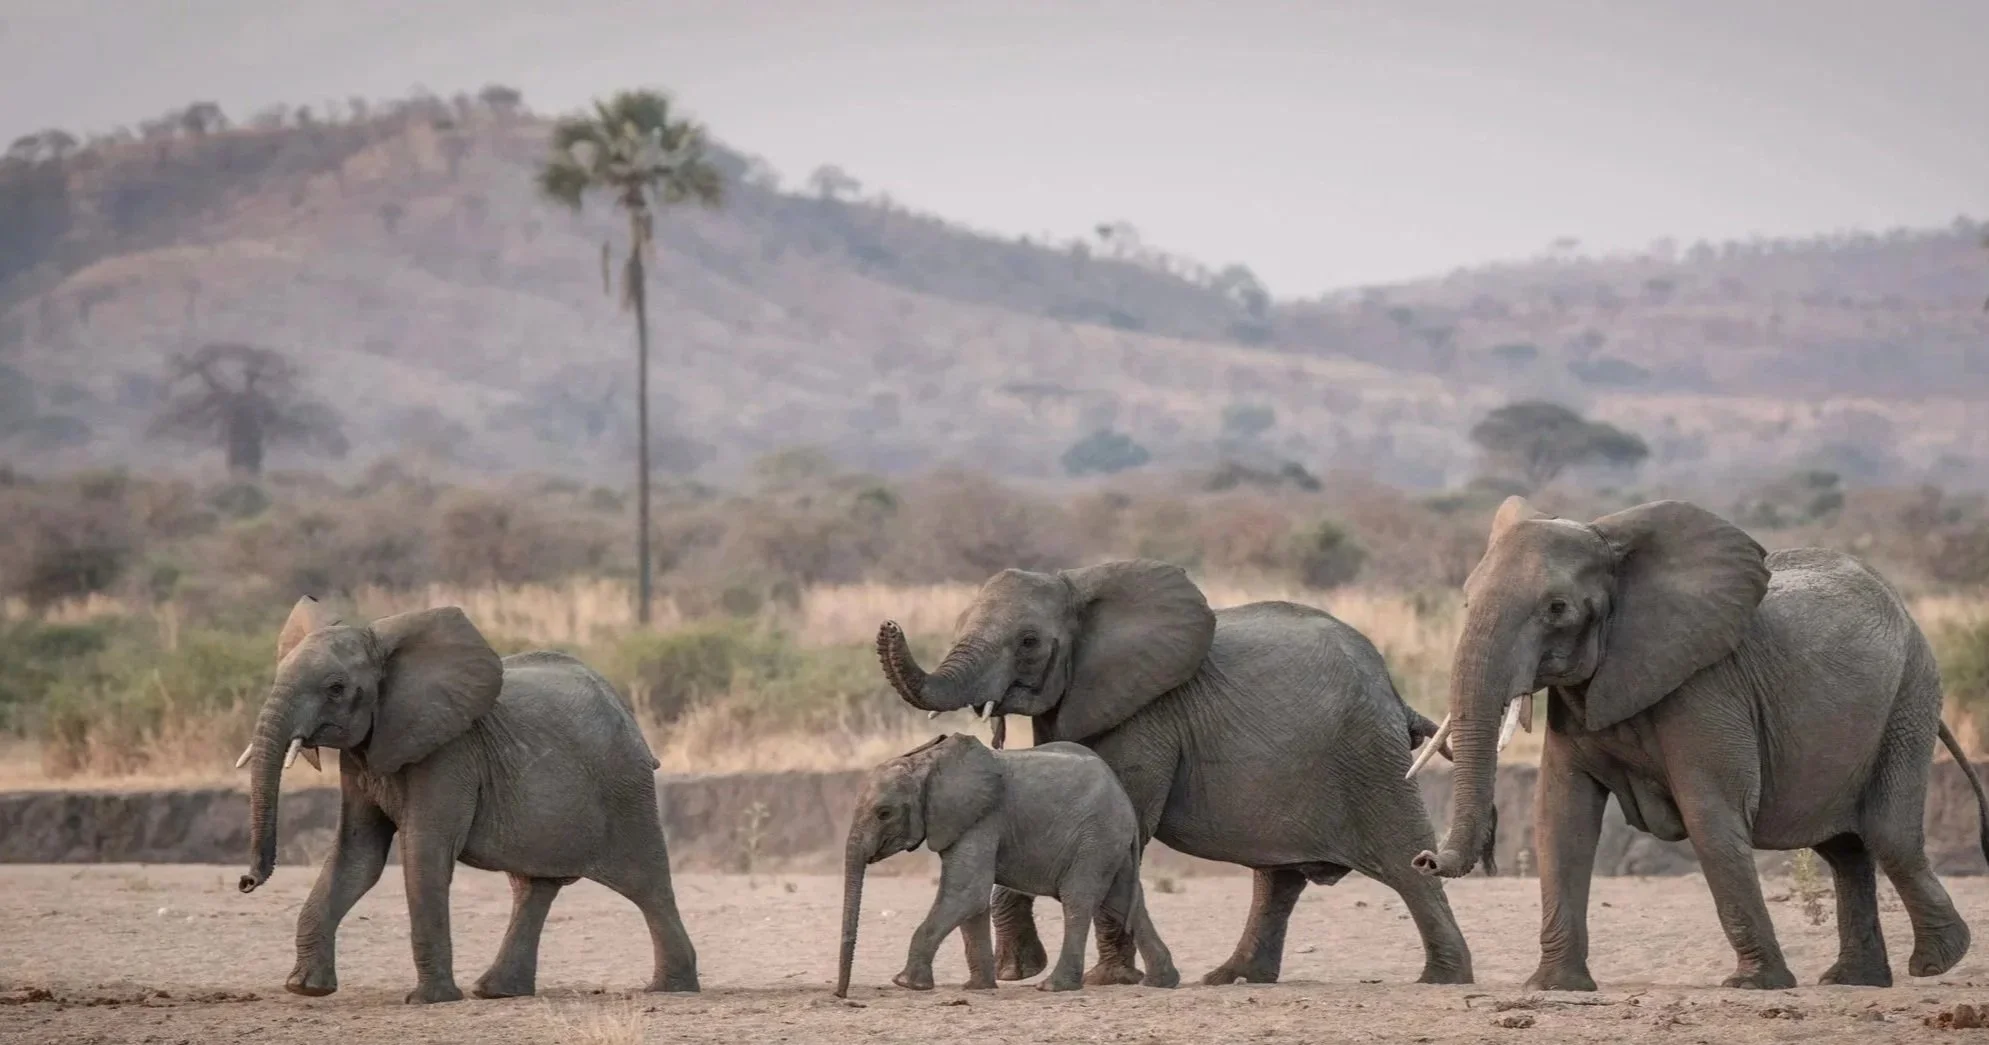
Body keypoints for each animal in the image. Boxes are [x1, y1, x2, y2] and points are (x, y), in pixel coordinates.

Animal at [233, 596, 699, 1003]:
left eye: (335, 688)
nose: (245, 882)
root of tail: (624, 710)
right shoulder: (362, 756)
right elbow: (357, 855)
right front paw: (304, 988)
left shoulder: (449, 754)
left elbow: (424, 853)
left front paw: (428, 1001)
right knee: (534, 887)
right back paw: (498, 992)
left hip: (625, 788)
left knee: (646, 883)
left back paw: (670, 989)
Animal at [835, 733, 1177, 996]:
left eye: (884, 813)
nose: (841, 994)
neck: (926, 763)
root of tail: (1125, 798)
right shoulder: (964, 823)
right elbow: (971, 902)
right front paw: (978, 988)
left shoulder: (981, 818)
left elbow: (966, 893)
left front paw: (906, 983)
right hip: (1109, 844)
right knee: (1121, 900)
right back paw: (1162, 982)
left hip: (1094, 837)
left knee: (1079, 900)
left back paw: (1054, 987)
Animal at [877, 559, 1475, 986]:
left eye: (1028, 642)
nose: (888, 623)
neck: (1077, 584)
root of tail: (1392, 689)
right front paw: (1016, 973)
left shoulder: (1146, 714)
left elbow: (1125, 826)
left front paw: (1107, 981)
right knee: (1277, 879)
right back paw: (1232, 978)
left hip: (1368, 756)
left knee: (1405, 861)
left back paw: (1443, 978)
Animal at [1412, 496, 1989, 991]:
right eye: (1466, 599)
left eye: (1557, 609)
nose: (1425, 860)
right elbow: (1561, 816)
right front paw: (1553, 988)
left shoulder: (1708, 688)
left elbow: (1709, 812)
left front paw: (1754, 985)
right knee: (1844, 850)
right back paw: (1853, 980)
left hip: (1910, 696)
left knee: (1888, 835)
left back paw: (1938, 962)